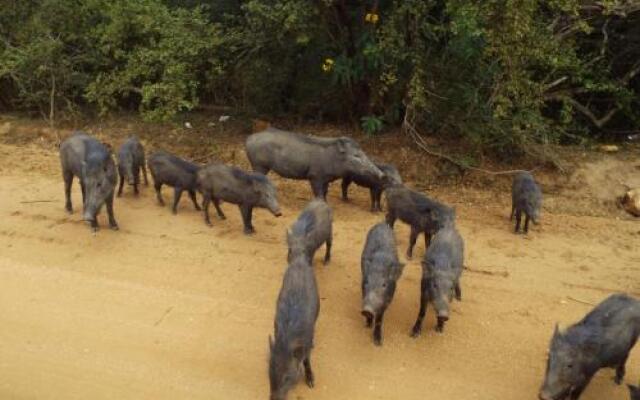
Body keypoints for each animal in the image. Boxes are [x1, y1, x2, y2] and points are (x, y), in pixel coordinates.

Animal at [245, 127, 384, 200]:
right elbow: (319, 193)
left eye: (364, 152)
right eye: (356, 155)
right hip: (259, 165)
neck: (334, 158)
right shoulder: (315, 176)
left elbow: (325, 192)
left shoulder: (326, 179)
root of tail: (248, 139)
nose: (382, 175)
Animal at [268, 255, 320, 398]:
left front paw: (311, 381)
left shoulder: (306, 344)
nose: (273, 398)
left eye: (287, 378)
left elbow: (307, 360)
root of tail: (300, 261)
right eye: (270, 373)